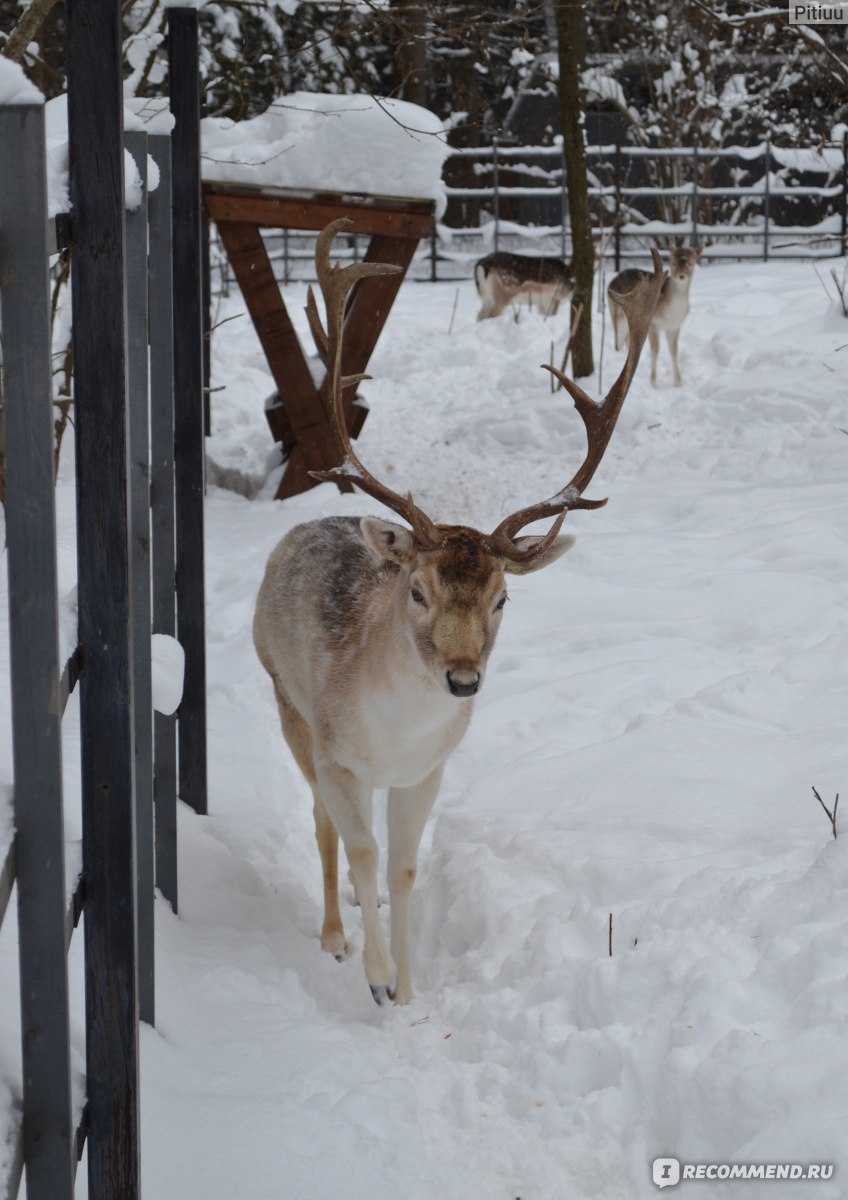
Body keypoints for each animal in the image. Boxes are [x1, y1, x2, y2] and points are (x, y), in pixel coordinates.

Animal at [255, 220, 666, 1008]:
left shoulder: (428, 771)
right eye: (417, 590)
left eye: (504, 597)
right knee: (322, 827)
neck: (392, 735)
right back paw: (333, 934)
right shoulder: (336, 753)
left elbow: (404, 867)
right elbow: (358, 848)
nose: (463, 678)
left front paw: (411, 990)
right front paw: (377, 978)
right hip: (287, 706)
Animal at [609, 246, 705, 386]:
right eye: (673, 262)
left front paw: (678, 382)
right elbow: (655, 349)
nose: (681, 276)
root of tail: (611, 282)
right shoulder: (653, 324)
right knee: (618, 340)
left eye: (691, 263)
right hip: (617, 315)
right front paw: (653, 382)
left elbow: (674, 350)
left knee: (627, 340)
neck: (670, 313)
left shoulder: (675, 326)